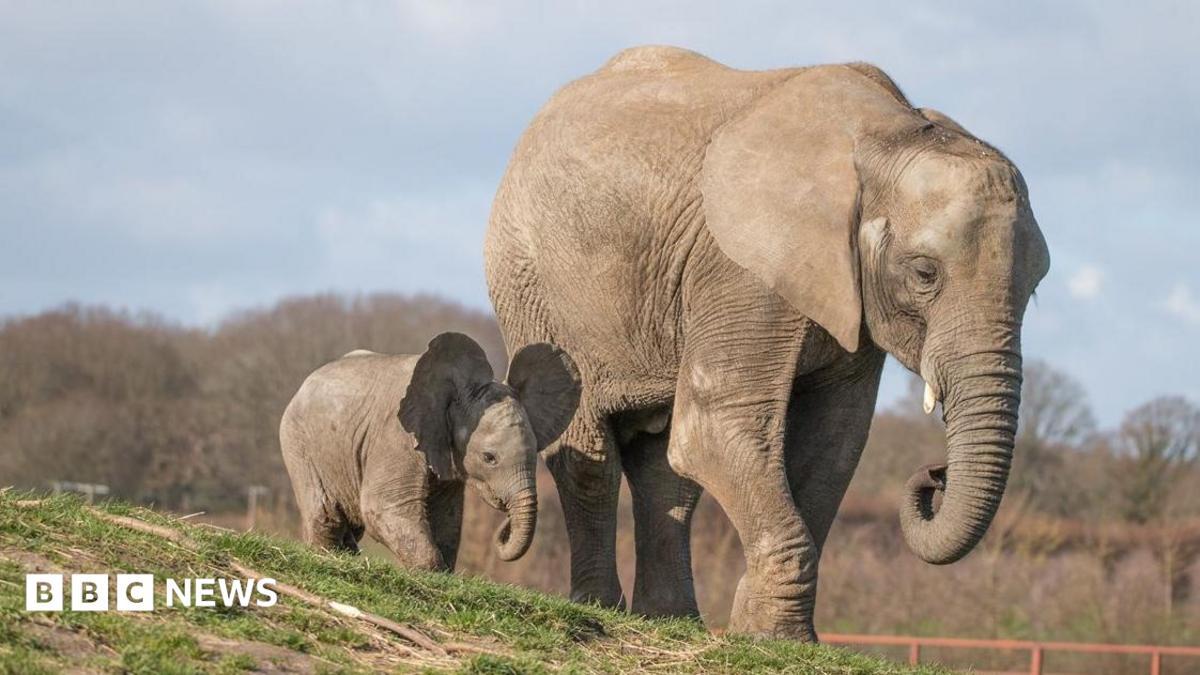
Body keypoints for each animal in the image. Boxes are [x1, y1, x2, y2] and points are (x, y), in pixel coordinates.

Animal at [279, 332, 581, 570]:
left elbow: (447, 519)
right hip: (296, 441)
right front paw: (430, 572)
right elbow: (383, 507)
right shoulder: (396, 438)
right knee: (326, 515)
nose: (503, 527)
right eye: (489, 458)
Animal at [483, 46, 1049, 640]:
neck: (887, 136)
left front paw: (768, 633)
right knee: (589, 456)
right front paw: (770, 636)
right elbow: (714, 428)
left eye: (1035, 286)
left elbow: (833, 443)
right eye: (924, 273)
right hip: (528, 281)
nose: (935, 475)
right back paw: (599, 606)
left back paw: (673, 619)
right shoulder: (741, 266)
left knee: (665, 472)